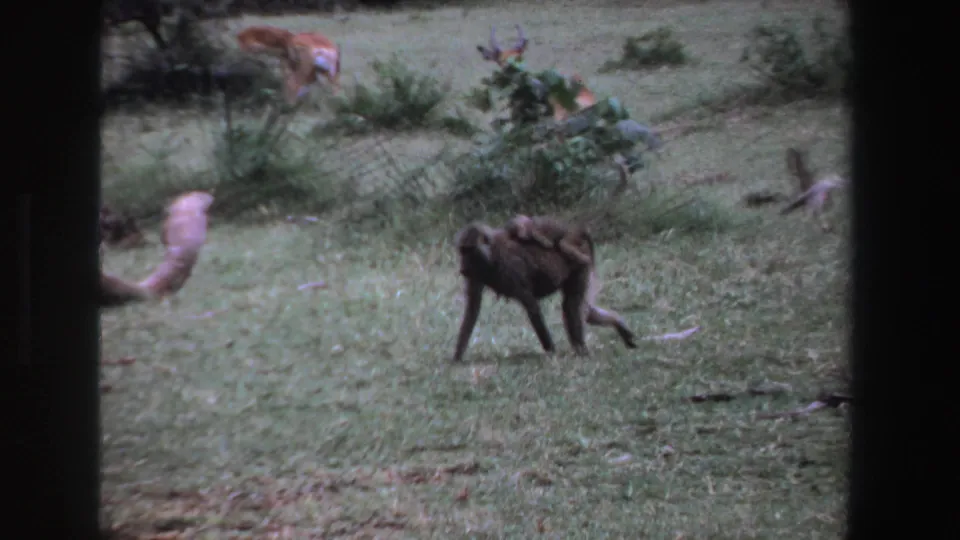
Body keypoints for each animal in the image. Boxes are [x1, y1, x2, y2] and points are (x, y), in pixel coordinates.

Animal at [452, 220, 637, 362]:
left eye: (469, 250)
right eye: (462, 250)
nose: (462, 269)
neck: (491, 253)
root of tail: (579, 235)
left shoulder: (511, 269)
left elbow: (532, 306)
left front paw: (551, 350)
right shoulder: (476, 275)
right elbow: (472, 309)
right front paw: (456, 359)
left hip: (580, 260)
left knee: (571, 306)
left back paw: (581, 350)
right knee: (585, 312)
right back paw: (618, 326)